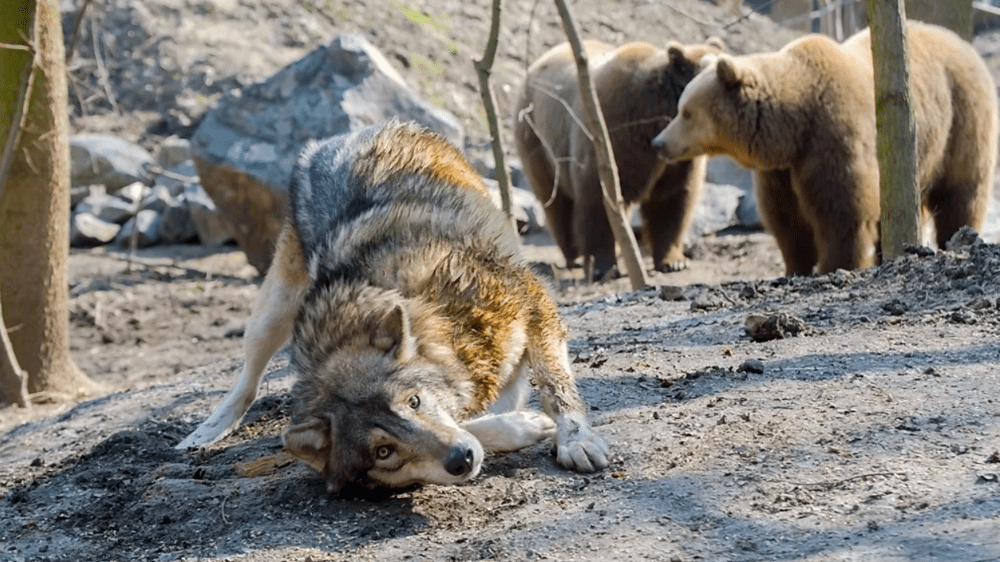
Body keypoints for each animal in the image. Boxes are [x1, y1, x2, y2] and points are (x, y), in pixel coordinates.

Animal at [179, 119, 608, 490]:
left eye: (414, 401)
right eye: (384, 452)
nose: (461, 460)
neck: (438, 320)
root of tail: (339, 137)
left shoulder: (531, 299)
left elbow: (554, 386)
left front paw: (575, 440)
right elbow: (474, 425)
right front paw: (521, 427)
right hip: (272, 314)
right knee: (247, 382)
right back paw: (205, 433)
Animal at [516, 38, 728, 276]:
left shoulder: (677, 159)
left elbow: (671, 200)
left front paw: (673, 261)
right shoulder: (613, 134)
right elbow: (599, 198)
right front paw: (603, 266)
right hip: (537, 139)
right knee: (556, 203)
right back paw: (574, 255)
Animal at [652, 21, 996, 276]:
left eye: (687, 112)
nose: (659, 142)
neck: (794, 125)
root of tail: (965, 46)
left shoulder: (832, 138)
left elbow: (842, 210)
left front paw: (836, 265)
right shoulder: (780, 169)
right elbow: (786, 217)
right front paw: (795, 268)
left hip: (961, 118)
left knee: (962, 193)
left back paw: (956, 238)